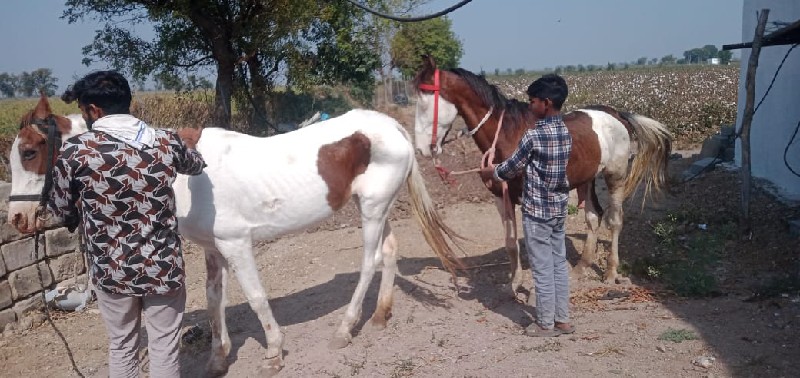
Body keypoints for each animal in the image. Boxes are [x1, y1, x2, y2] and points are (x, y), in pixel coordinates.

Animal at [6, 93, 462, 374]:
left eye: (28, 151)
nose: (18, 220)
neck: (182, 175)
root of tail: (392, 127)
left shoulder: (235, 244)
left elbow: (256, 297)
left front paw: (274, 353)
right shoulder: (212, 249)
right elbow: (214, 300)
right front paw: (218, 360)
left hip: (371, 211)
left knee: (369, 262)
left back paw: (345, 330)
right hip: (375, 208)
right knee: (390, 252)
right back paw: (381, 315)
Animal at [412, 55, 668, 292]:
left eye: (423, 103)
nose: (421, 148)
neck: (509, 136)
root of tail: (614, 113)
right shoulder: (501, 197)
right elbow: (511, 242)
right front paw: (514, 283)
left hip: (615, 176)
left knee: (614, 221)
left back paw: (611, 272)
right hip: (587, 179)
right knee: (593, 217)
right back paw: (581, 267)